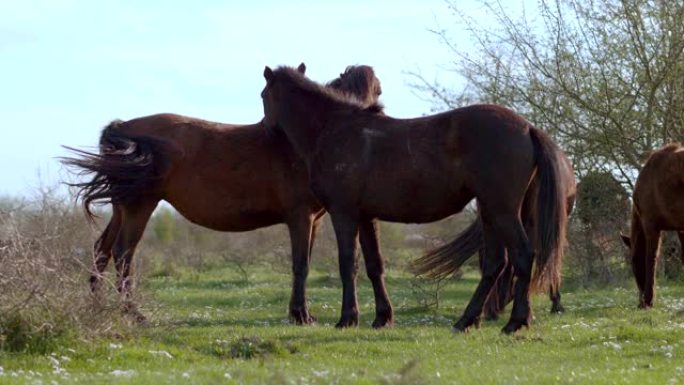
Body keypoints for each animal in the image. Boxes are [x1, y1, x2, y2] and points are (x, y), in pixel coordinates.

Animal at [62, 64, 384, 322]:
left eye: (377, 93)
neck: (302, 141)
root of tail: (122, 128)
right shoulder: (300, 217)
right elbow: (300, 265)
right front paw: (300, 315)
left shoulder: (314, 220)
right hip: (139, 207)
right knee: (123, 254)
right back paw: (134, 313)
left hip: (121, 208)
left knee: (102, 250)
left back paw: (97, 307)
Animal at [624, 142, 684, 308]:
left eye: (632, 262)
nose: (640, 301)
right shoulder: (680, 228)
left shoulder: (651, 225)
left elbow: (651, 259)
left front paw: (649, 300)